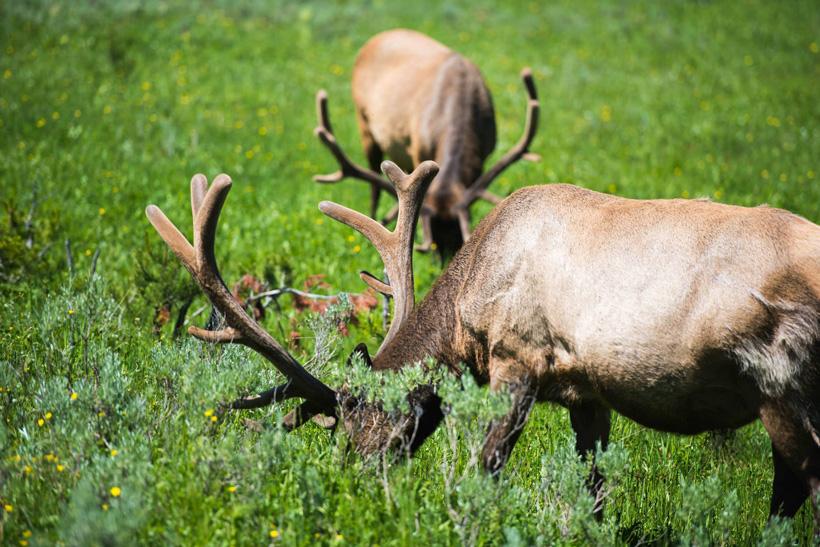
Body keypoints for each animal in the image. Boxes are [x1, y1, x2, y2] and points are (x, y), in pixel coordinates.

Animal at [146, 161, 819, 530]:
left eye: (359, 419)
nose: (349, 485)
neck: (465, 315)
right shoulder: (587, 392)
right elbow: (594, 490)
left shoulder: (517, 361)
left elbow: (483, 471)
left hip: (781, 384)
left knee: (797, 487)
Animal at [312, 29, 539, 258]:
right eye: (433, 245)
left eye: (458, 239)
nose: (444, 261)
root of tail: (379, 36)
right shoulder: (417, 148)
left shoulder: (483, 154)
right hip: (365, 124)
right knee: (374, 183)